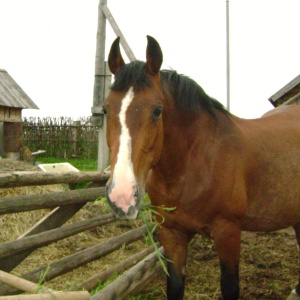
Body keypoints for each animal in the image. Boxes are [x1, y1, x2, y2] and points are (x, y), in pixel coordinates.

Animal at [104, 35, 300, 300]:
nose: (122, 196)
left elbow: (230, 287)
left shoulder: (228, 232)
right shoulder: (171, 233)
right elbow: (175, 285)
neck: (193, 166)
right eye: (105, 109)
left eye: (157, 110)